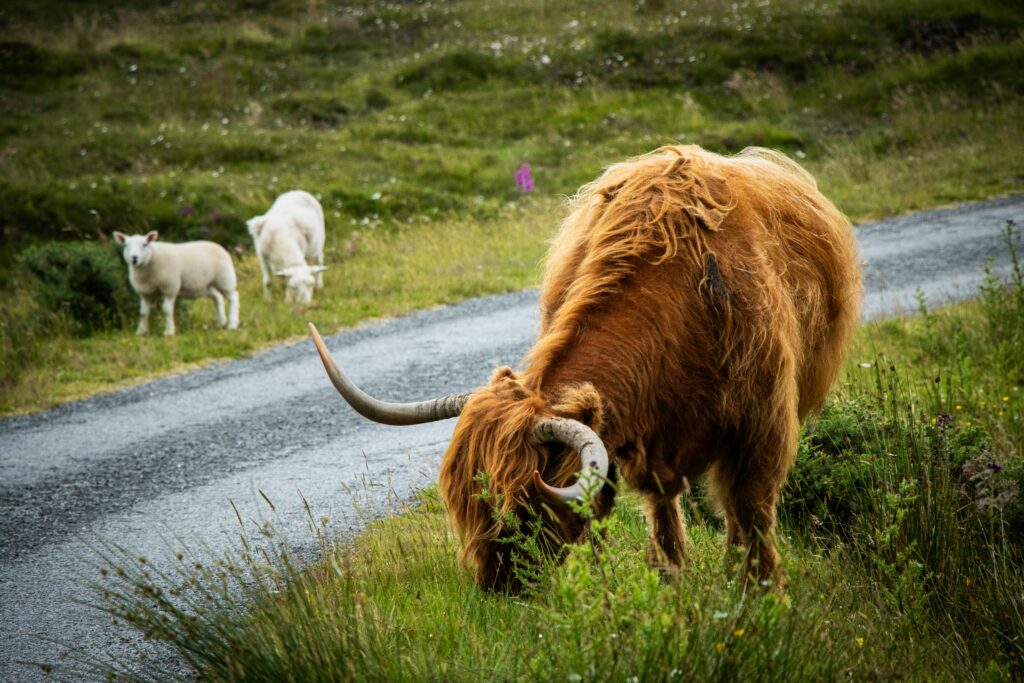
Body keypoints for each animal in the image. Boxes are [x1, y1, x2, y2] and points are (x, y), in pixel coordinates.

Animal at [309, 145, 862, 592]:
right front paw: (668, 580)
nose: (498, 586)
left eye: (523, 506)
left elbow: (751, 511)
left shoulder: (763, 427)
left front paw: (761, 592)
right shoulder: (643, 444)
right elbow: (656, 509)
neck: (679, 303)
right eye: (465, 504)